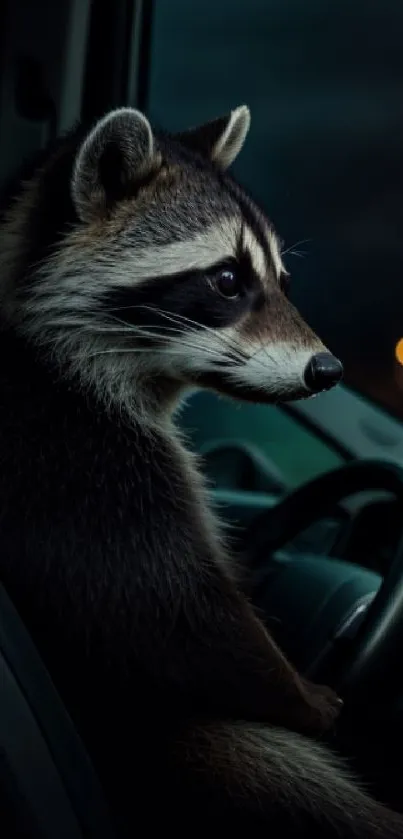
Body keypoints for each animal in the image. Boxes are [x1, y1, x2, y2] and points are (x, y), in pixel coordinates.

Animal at [0, 108, 400, 836]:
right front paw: (305, 697)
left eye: (282, 282)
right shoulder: (77, 463)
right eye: (226, 280)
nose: (328, 371)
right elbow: (170, 611)